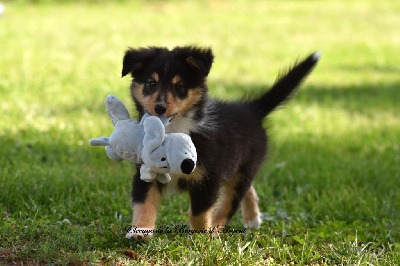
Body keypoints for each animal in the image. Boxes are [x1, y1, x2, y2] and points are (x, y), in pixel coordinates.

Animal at [122, 45, 322, 241]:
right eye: (151, 83)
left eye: (179, 86)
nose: (160, 108)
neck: (174, 130)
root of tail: (252, 110)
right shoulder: (147, 172)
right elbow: (144, 203)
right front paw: (140, 232)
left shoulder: (209, 178)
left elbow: (199, 212)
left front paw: (199, 239)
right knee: (247, 190)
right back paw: (253, 219)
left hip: (244, 169)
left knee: (231, 201)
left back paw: (218, 229)